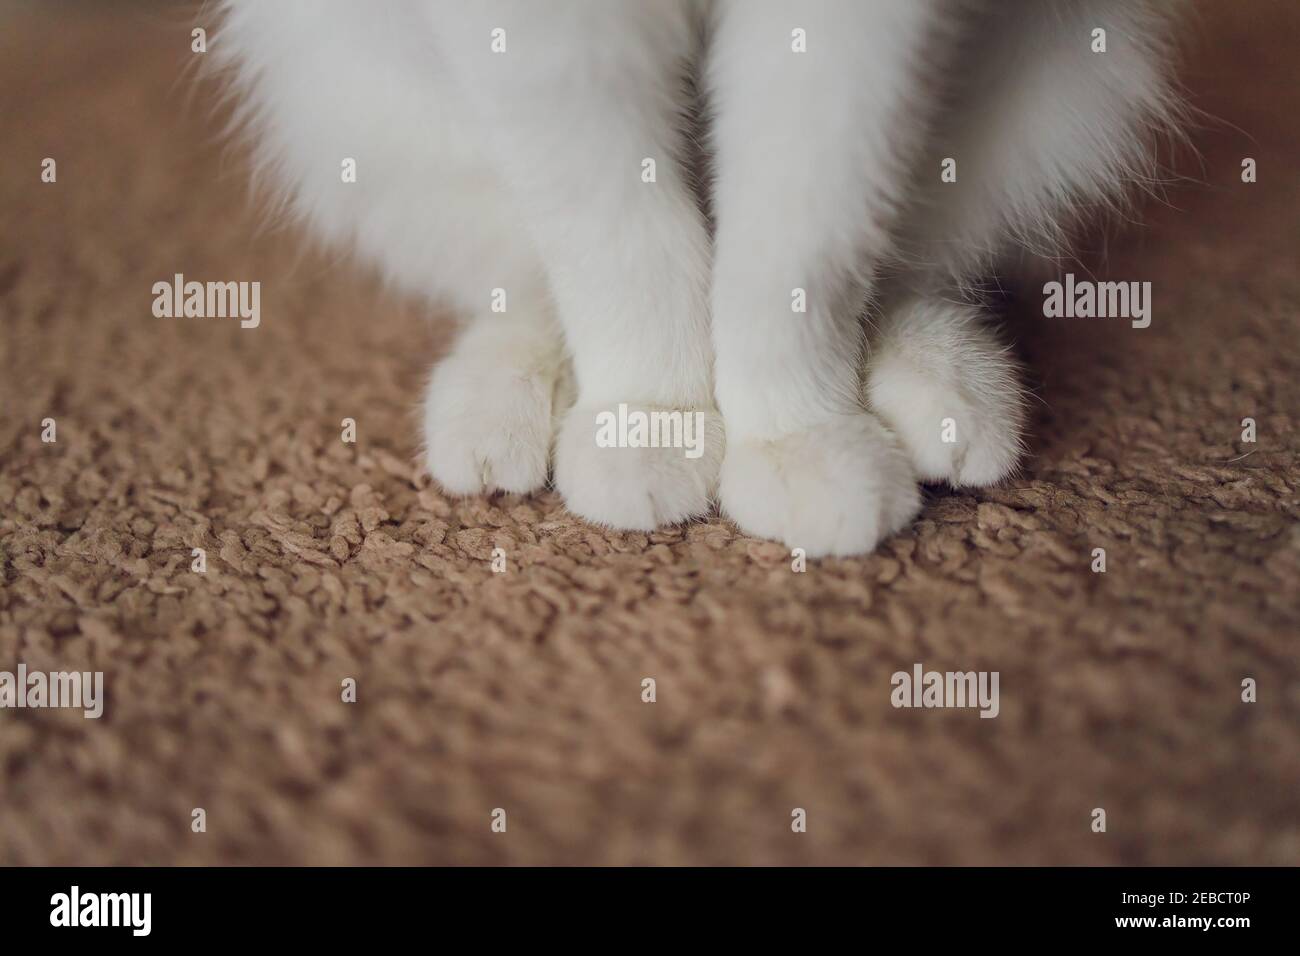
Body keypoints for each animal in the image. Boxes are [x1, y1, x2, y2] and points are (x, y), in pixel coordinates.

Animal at [213, 0, 1180, 556]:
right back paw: (498, 418)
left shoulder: (858, 38)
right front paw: (650, 423)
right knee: (520, 279)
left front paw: (801, 439)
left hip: (1067, 81)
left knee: (915, 261)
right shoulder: (551, 37)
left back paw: (950, 393)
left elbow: (802, 246)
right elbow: (621, 236)